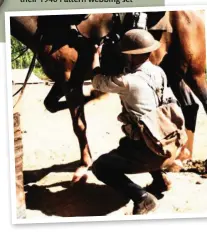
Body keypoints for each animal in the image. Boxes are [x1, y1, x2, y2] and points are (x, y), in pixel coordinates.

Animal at [10, 10, 207, 181]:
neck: (51, 28)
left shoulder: (69, 80)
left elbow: (79, 125)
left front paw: (84, 164)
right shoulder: (63, 80)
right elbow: (50, 104)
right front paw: (94, 94)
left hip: (194, 73)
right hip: (174, 73)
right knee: (190, 106)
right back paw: (180, 159)